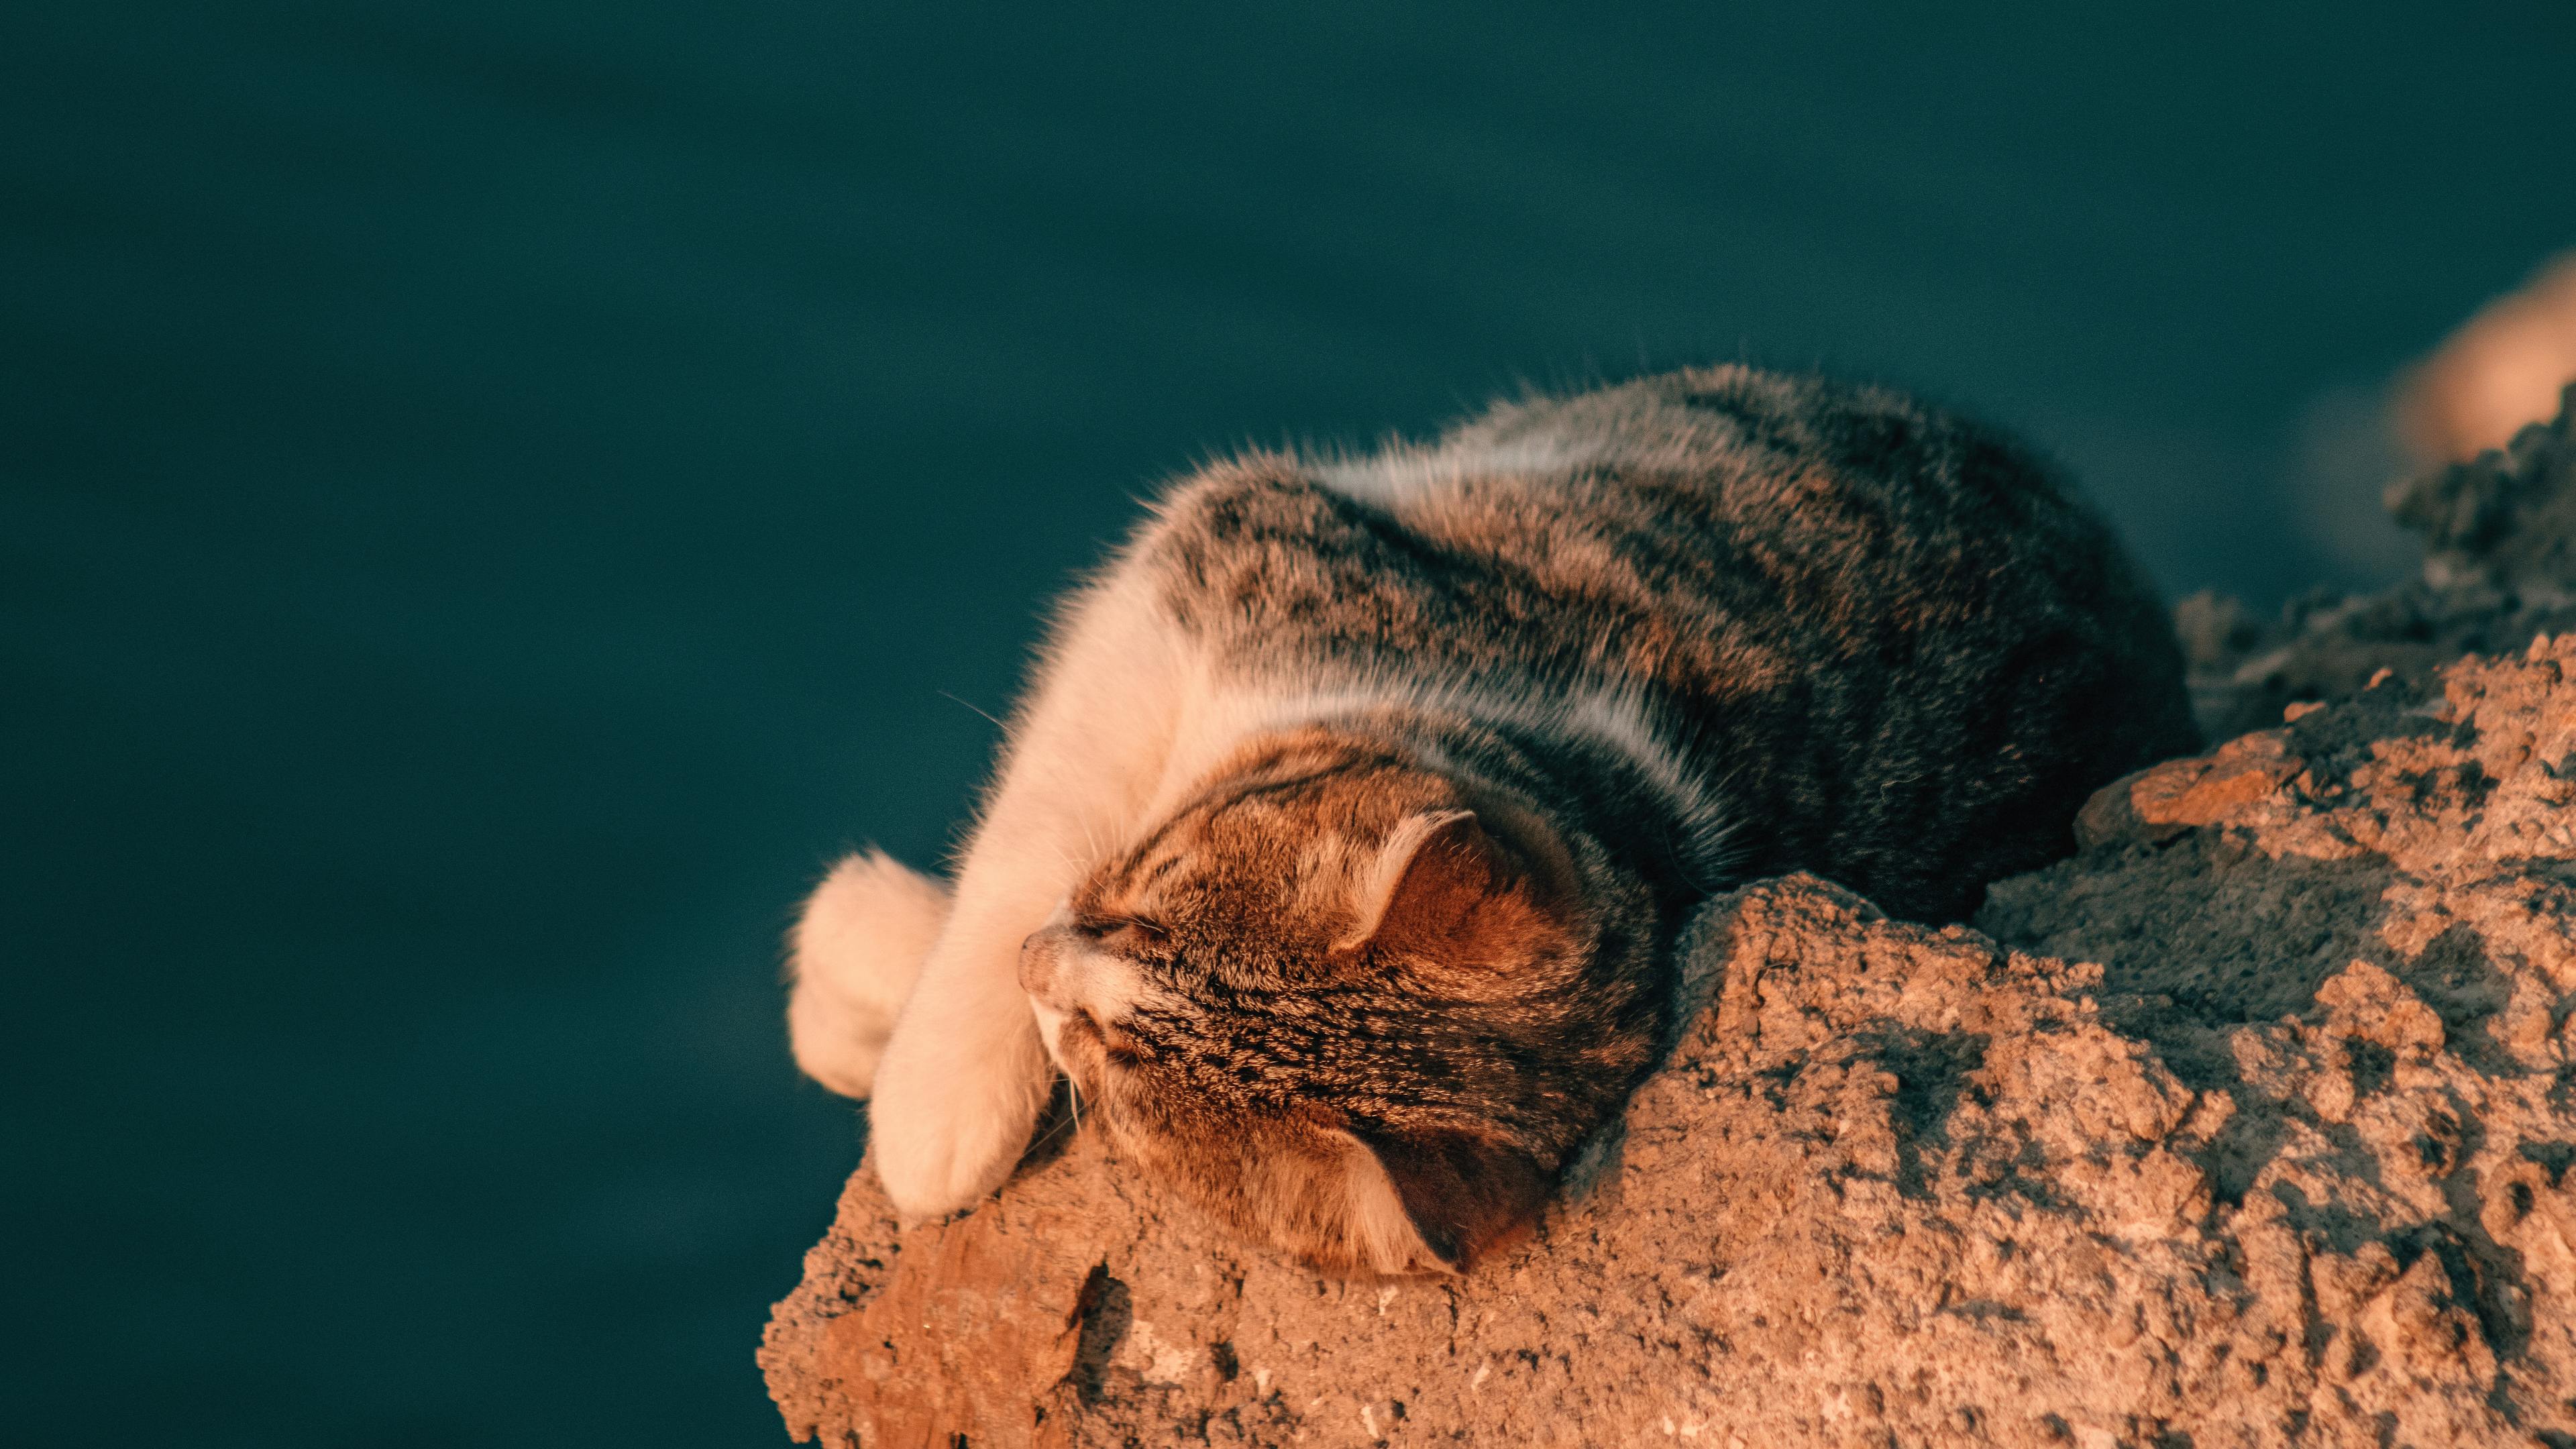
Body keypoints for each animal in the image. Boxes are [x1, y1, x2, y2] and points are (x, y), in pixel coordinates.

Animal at [777, 366, 2194, 1268]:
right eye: (1155, 893)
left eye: (1125, 1074)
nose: (1045, 969)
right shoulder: (1240, 550)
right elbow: (1044, 812)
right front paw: (920, 1024)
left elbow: (1039, 838)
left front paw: (920, 1085)